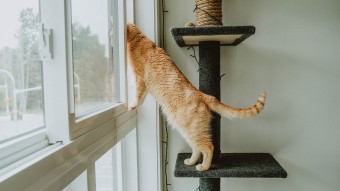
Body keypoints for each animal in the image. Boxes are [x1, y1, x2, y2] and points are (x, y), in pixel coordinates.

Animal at [123, 23, 264, 171]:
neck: (138, 39)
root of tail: (203, 95)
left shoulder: (140, 79)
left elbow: (138, 96)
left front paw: (132, 105)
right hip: (189, 131)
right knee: (197, 148)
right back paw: (191, 162)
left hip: (193, 131)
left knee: (208, 147)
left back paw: (204, 167)